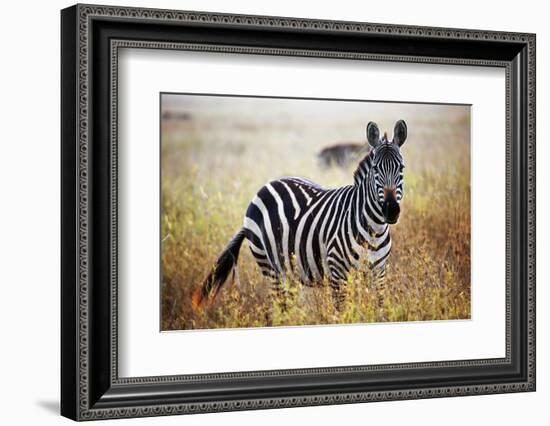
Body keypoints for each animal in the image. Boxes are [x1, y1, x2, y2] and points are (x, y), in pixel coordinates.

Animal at [192, 118, 408, 312]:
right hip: (270, 267)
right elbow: (343, 312)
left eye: (402, 168)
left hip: (290, 270)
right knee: (280, 308)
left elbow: (378, 310)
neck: (374, 228)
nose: (390, 210)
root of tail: (268, 185)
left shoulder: (379, 272)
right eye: (375, 168)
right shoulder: (338, 272)